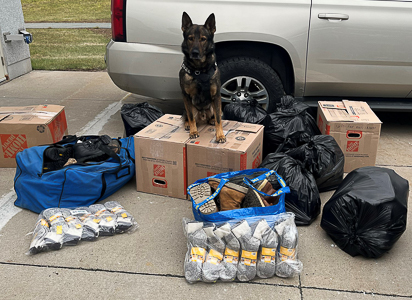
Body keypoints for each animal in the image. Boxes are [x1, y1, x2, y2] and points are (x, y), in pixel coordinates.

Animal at [179, 11, 227, 143]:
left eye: (203, 39)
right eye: (190, 38)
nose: (195, 53)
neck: (200, 70)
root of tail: (203, 116)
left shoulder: (216, 96)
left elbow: (219, 120)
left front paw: (220, 135)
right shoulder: (186, 96)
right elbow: (191, 117)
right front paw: (193, 131)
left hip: (216, 107)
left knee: (215, 115)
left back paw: (211, 120)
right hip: (186, 106)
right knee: (187, 116)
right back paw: (187, 125)